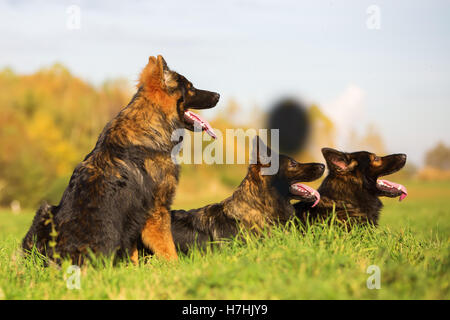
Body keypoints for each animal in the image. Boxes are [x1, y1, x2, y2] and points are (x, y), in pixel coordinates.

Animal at [22, 55, 220, 264]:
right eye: (191, 87)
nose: (218, 95)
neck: (152, 122)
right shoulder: (157, 211)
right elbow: (168, 248)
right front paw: (176, 266)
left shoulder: (135, 218)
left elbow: (133, 251)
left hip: (45, 211)